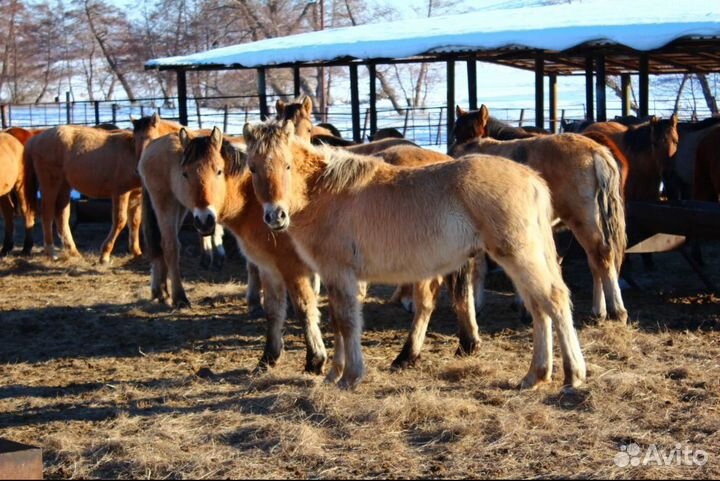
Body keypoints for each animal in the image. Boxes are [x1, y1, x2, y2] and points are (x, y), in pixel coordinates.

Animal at [138, 126, 327, 372]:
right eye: (185, 174)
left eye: (219, 171)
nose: (205, 220)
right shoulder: (270, 267)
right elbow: (274, 310)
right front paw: (269, 357)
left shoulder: (290, 267)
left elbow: (303, 307)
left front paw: (315, 359)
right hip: (168, 205)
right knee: (170, 247)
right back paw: (174, 296)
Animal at [243, 119, 586, 390]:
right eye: (253, 167)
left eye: (287, 165)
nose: (275, 216)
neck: (325, 193)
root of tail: (532, 178)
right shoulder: (334, 277)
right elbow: (338, 322)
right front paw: (333, 375)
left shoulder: (340, 274)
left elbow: (347, 322)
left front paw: (349, 377)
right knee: (539, 308)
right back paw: (535, 376)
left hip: (519, 256)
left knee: (553, 300)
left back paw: (573, 375)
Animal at [450, 105, 627, 323]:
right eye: (456, 131)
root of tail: (596, 151)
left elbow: (481, 268)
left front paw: (479, 305)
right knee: (595, 262)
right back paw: (599, 311)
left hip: (582, 221)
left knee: (602, 255)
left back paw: (616, 310)